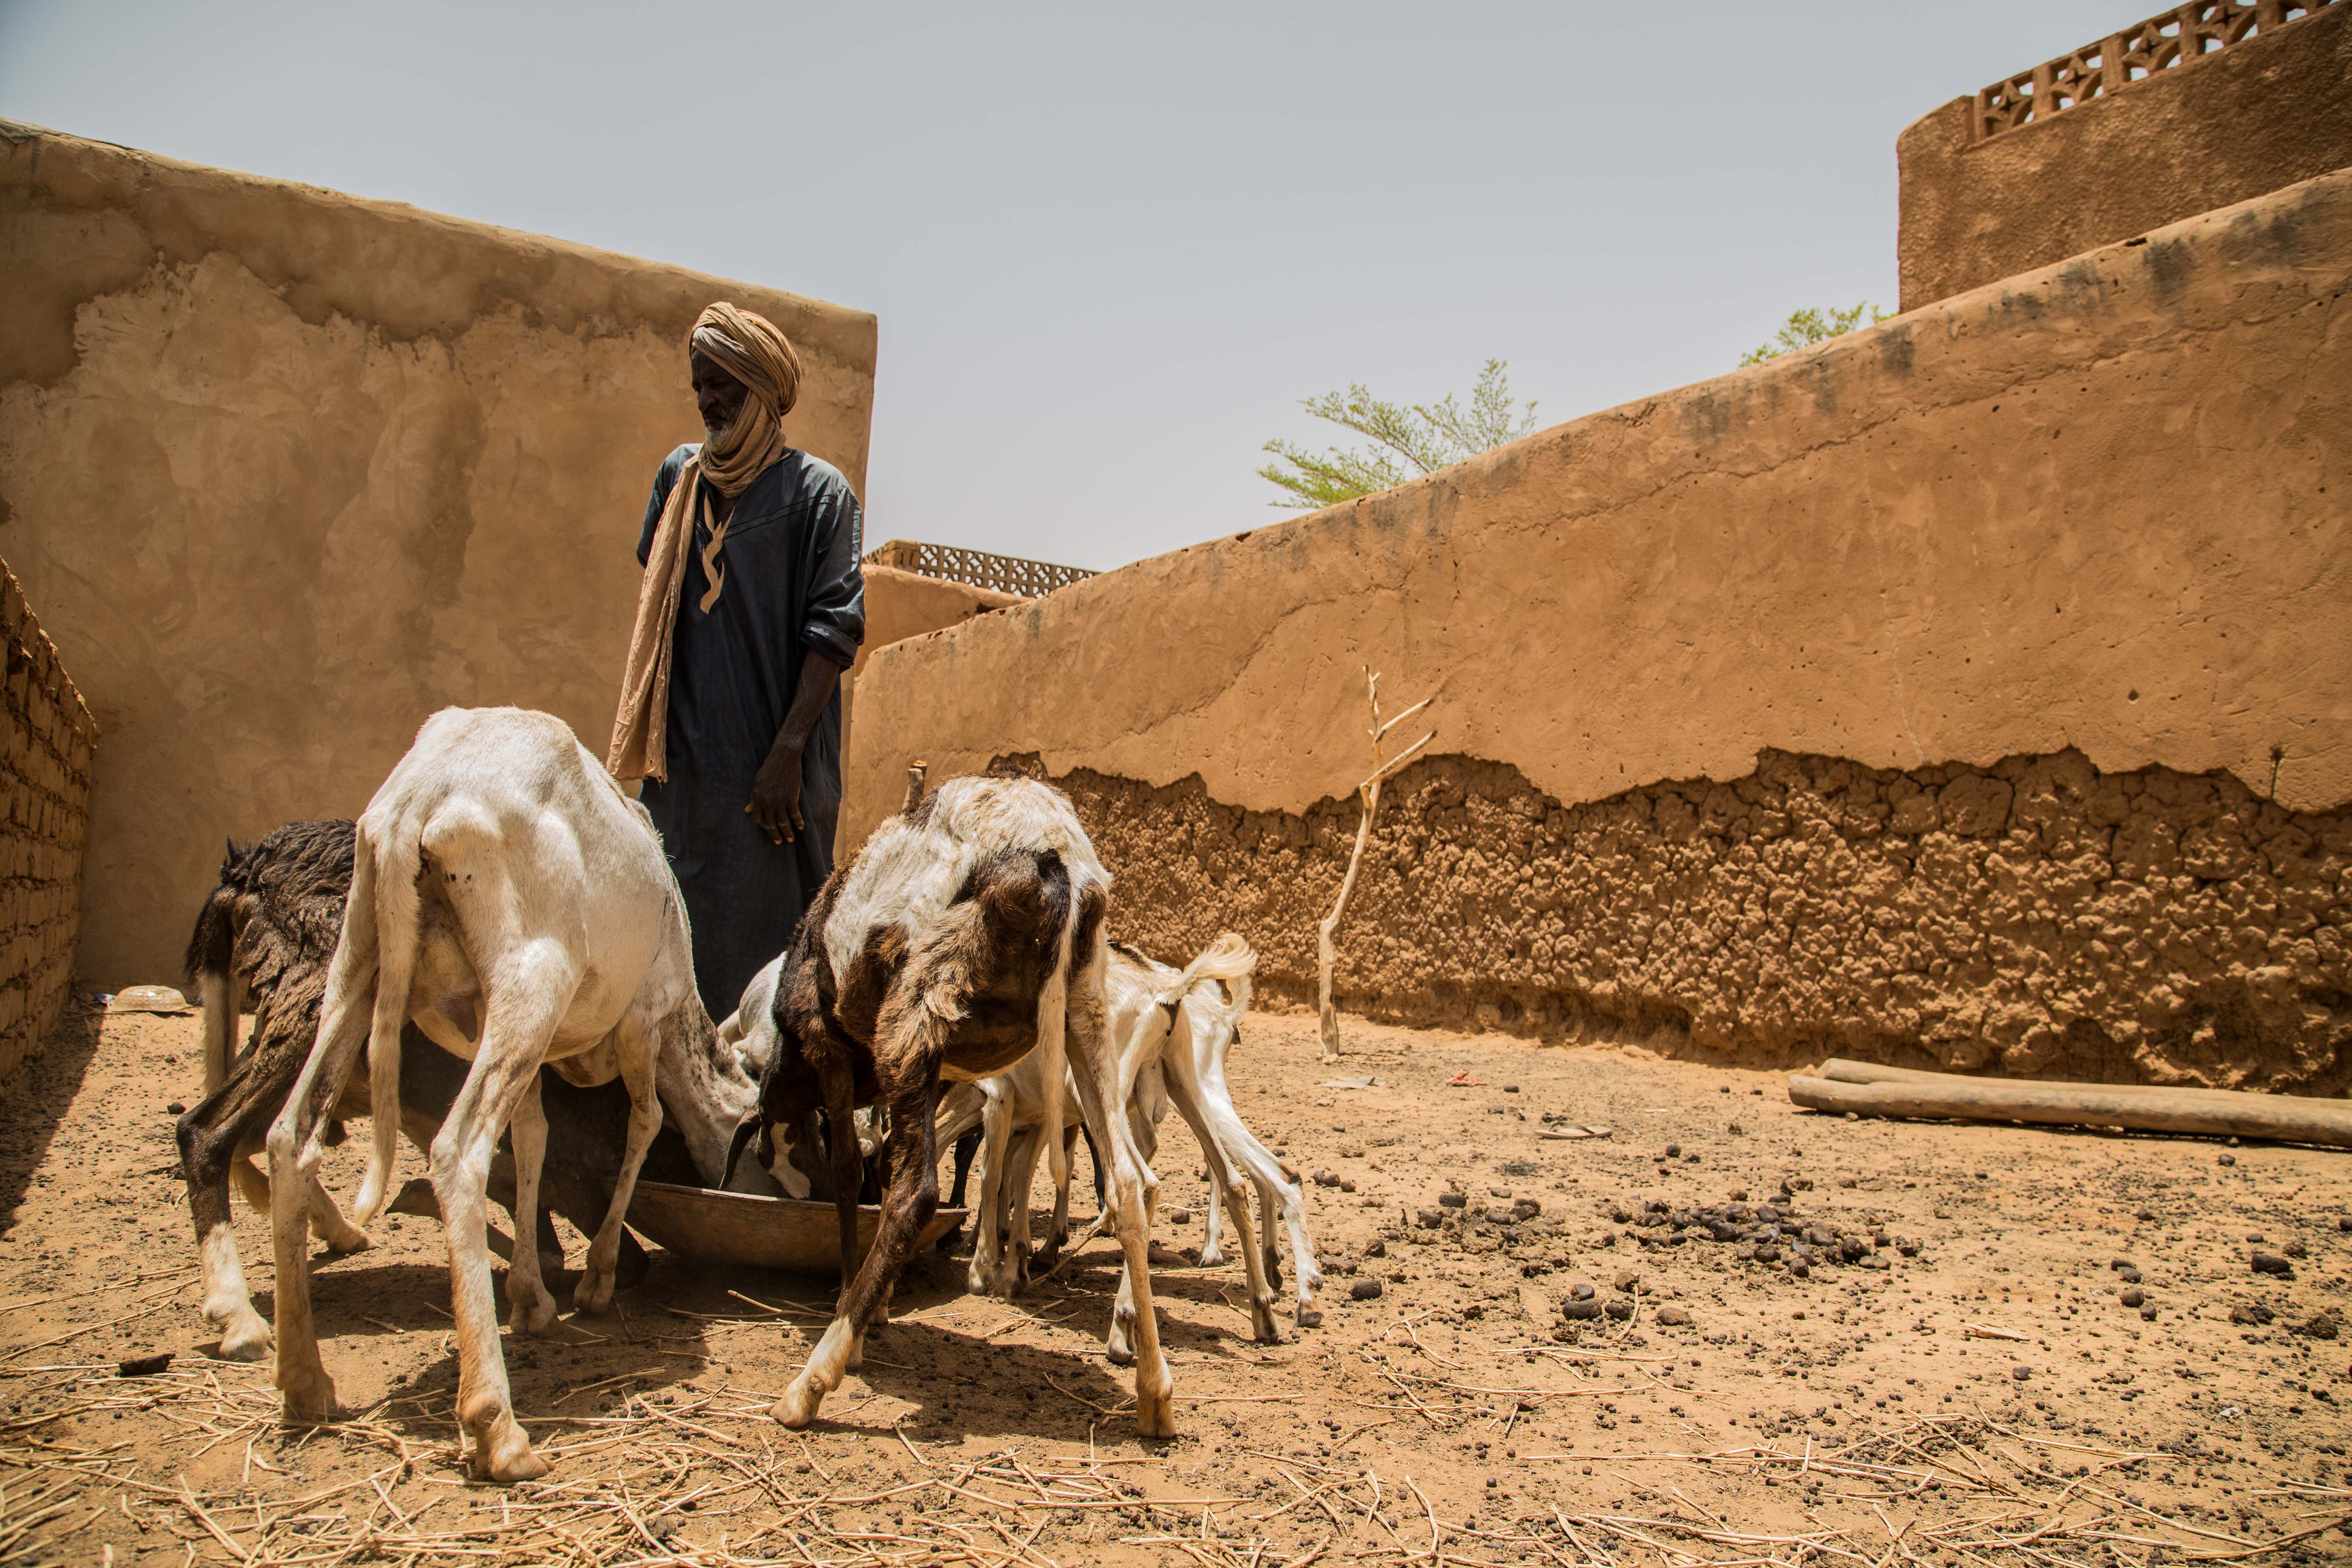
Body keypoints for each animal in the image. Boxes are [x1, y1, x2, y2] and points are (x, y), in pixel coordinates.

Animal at [270, 710, 757, 1485]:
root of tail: (420, 798)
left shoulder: (519, 1041)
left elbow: (532, 1136)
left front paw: (533, 1297)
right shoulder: (643, 1018)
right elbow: (645, 1122)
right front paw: (595, 1282)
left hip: (359, 964)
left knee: (291, 1132)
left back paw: (304, 1383)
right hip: (532, 973)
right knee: (458, 1150)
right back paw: (496, 1428)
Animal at [734, 771, 1176, 1439]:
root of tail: (1058, 856)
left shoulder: (830, 1051)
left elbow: (849, 1173)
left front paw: (855, 1305)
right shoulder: (943, 1073)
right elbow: (887, 1154)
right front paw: (878, 1302)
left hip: (921, 1003)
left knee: (916, 1195)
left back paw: (811, 1384)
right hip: (1084, 1013)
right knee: (1128, 1184)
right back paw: (1154, 1393)